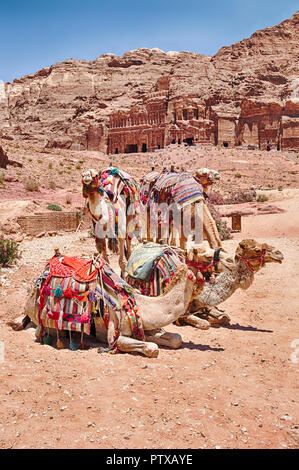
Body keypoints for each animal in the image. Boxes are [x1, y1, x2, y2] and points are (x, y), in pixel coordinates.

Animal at [9, 248, 206, 358]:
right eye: (204, 268)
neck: (141, 306)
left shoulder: (145, 327)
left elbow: (176, 339)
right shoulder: (114, 332)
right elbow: (152, 347)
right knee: (37, 330)